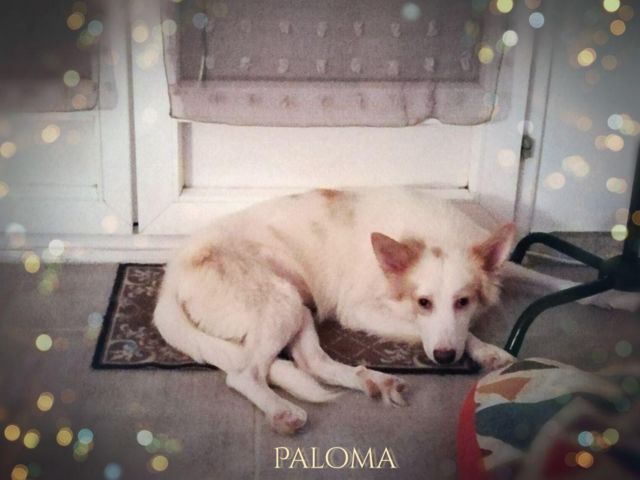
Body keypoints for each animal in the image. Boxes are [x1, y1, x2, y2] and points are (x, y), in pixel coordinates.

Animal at [154, 187, 638, 434]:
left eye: (464, 301)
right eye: (423, 302)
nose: (444, 361)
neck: (431, 234)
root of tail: (171, 276)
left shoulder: (507, 267)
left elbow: (558, 284)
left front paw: (619, 295)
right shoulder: (359, 311)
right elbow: (435, 331)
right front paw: (482, 350)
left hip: (299, 304)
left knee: (310, 361)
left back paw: (372, 380)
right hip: (281, 303)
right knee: (245, 373)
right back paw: (282, 411)